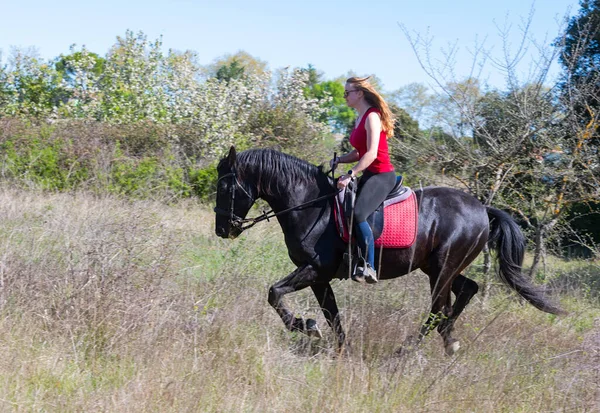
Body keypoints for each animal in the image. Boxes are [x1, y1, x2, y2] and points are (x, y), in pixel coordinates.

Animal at [214, 146, 564, 352]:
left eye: (226, 185)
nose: (223, 229)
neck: (311, 204)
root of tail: (482, 209)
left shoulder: (314, 269)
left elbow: (275, 293)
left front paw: (305, 326)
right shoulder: (319, 277)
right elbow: (332, 315)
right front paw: (339, 348)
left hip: (442, 269)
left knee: (439, 308)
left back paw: (410, 349)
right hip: (439, 268)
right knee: (465, 292)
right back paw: (448, 339)